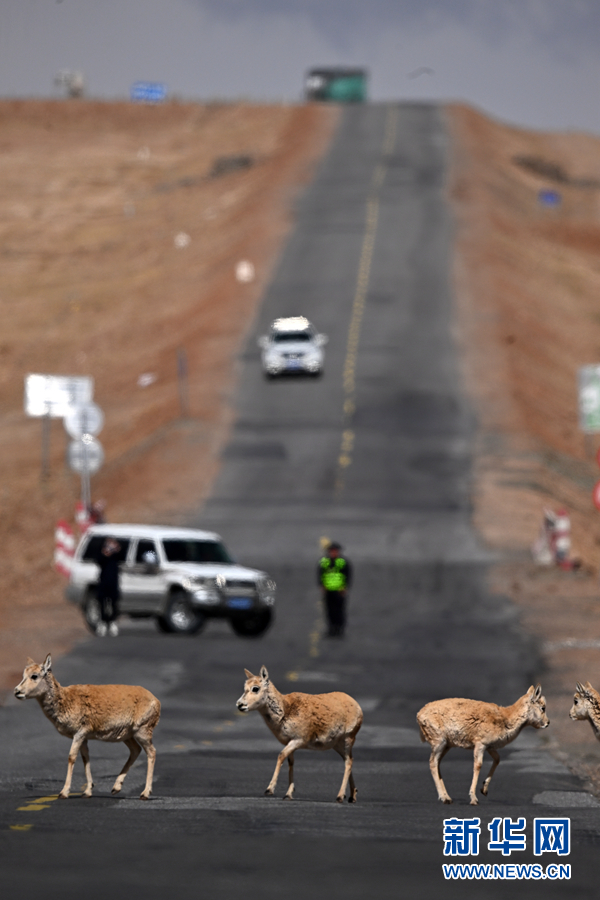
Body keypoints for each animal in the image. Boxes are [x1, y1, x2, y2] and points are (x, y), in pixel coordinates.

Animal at [15, 652, 162, 800]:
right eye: (23, 675)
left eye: (34, 675)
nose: (17, 691)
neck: (65, 699)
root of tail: (156, 700)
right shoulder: (84, 737)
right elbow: (85, 758)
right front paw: (87, 792)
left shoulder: (79, 733)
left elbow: (71, 757)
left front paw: (64, 792)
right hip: (127, 735)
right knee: (136, 750)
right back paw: (115, 788)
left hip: (142, 731)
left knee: (151, 752)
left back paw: (145, 793)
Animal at [237, 664, 364, 804]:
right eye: (245, 687)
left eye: (255, 688)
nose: (239, 705)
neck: (286, 709)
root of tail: (356, 705)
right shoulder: (290, 742)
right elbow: (290, 761)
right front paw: (288, 794)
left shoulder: (298, 740)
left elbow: (281, 756)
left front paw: (269, 790)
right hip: (337, 745)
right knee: (349, 760)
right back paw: (352, 796)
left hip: (348, 739)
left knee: (348, 762)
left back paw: (340, 796)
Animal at [418, 684, 548, 804]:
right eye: (543, 707)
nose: (548, 723)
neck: (505, 718)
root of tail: (419, 715)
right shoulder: (480, 744)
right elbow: (478, 765)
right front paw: (473, 799)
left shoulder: (490, 747)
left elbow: (497, 759)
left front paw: (484, 790)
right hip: (439, 742)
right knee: (433, 763)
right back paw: (445, 798)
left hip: (446, 745)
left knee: (437, 763)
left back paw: (447, 797)